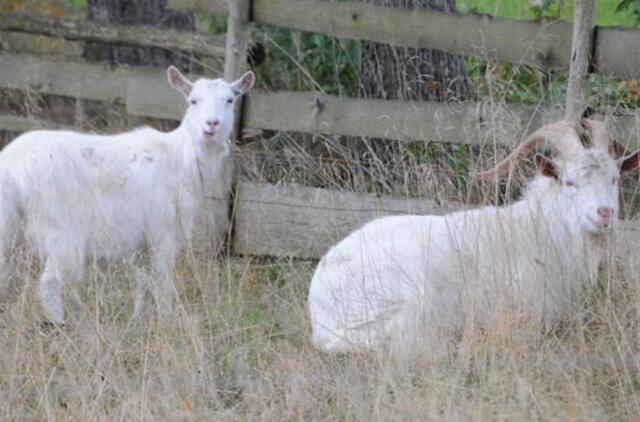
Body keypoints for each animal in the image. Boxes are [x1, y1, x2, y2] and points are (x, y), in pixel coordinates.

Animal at [0, 66, 254, 324]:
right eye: (193, 100)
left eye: (230, 100)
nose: (211, 124)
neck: (179, 159)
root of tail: (12, 167)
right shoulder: (163, 233)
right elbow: (162, 283)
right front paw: (166, 322)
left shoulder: (140, 245)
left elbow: (144, 284)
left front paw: (138, 322)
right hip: (61, 229)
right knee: (49, 283)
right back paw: (61, 325)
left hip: (9, 223)